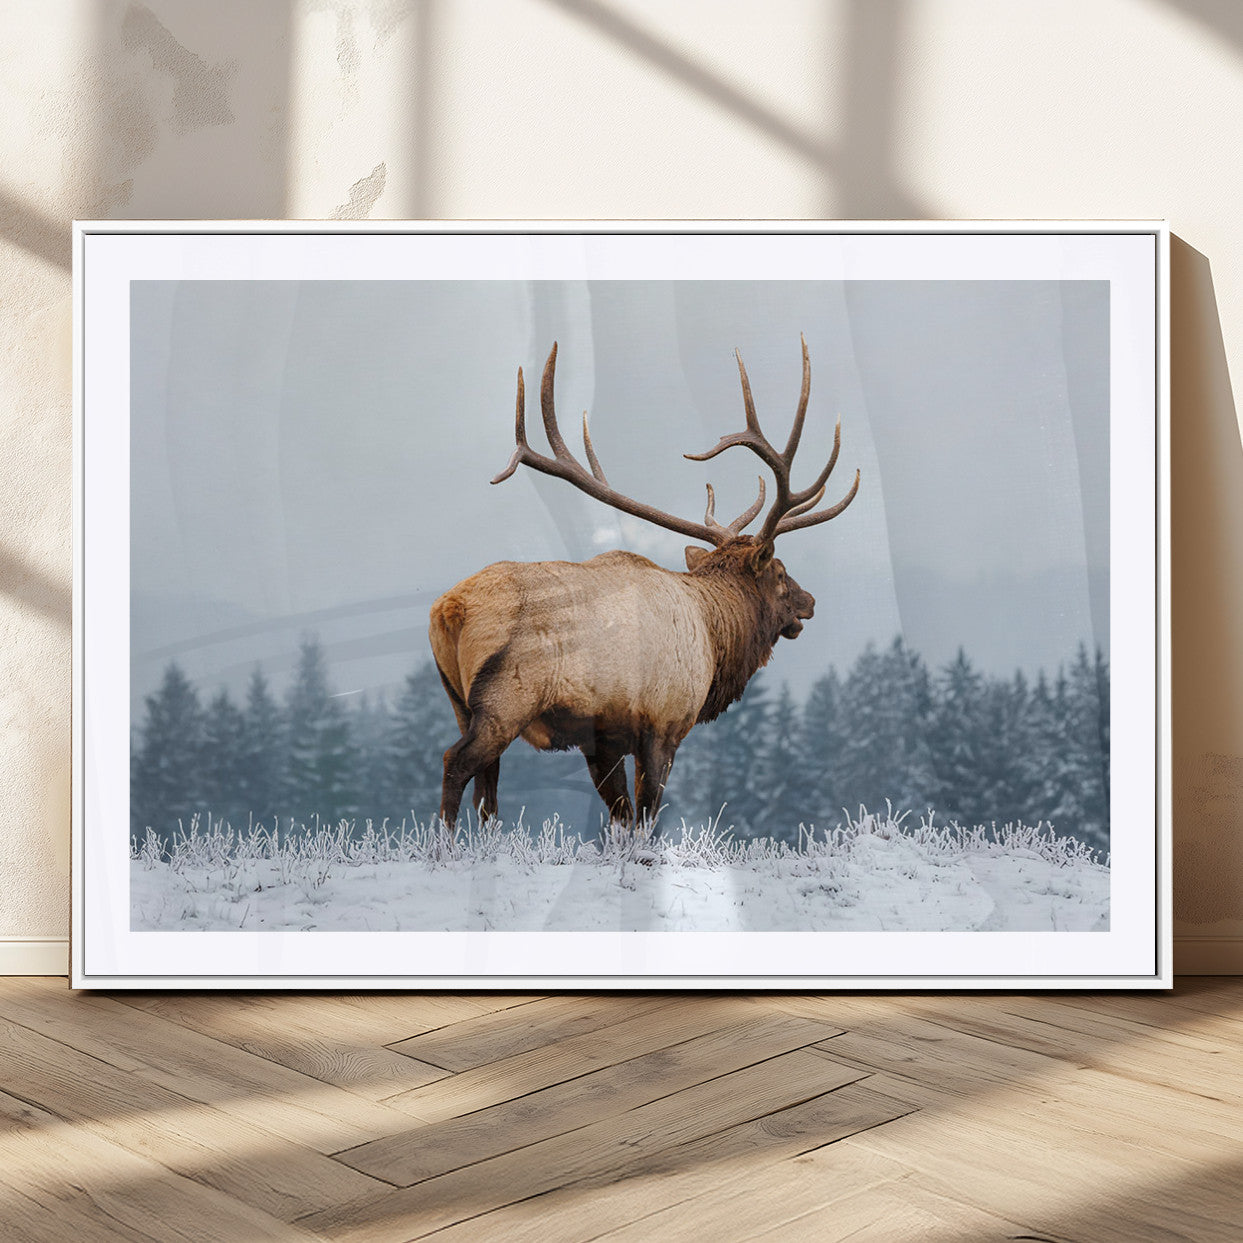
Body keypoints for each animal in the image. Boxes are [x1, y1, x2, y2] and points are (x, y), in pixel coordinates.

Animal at [429, 335, 860, 831]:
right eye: (780, 572)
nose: (810, 601)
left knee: (487, 790)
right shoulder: (664, 723)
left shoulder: (603, 740)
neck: (714, 639)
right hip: (506, 699)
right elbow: (647, 816)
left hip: (458, 702)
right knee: (456, 763)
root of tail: (449, 609)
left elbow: (621, 816)